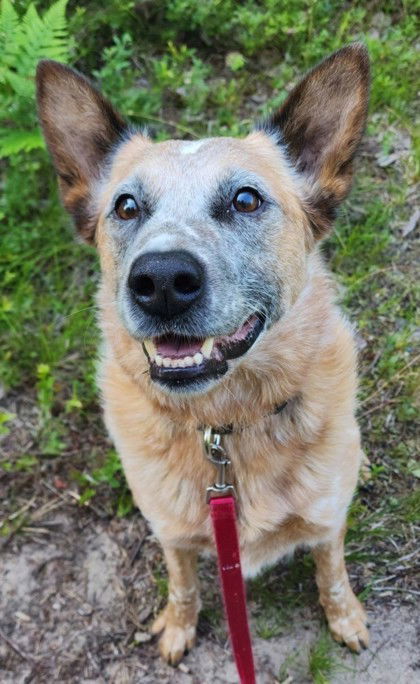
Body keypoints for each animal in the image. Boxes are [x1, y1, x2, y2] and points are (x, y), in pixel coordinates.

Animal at [37, 42, 370, 664]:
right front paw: (177, 625)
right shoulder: (171, 530)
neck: (224, 425)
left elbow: (332, 571)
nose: (162, 280)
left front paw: (346, 618)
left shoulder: (327, 518)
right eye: (126, 207)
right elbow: (183, 581)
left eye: (246, 199)